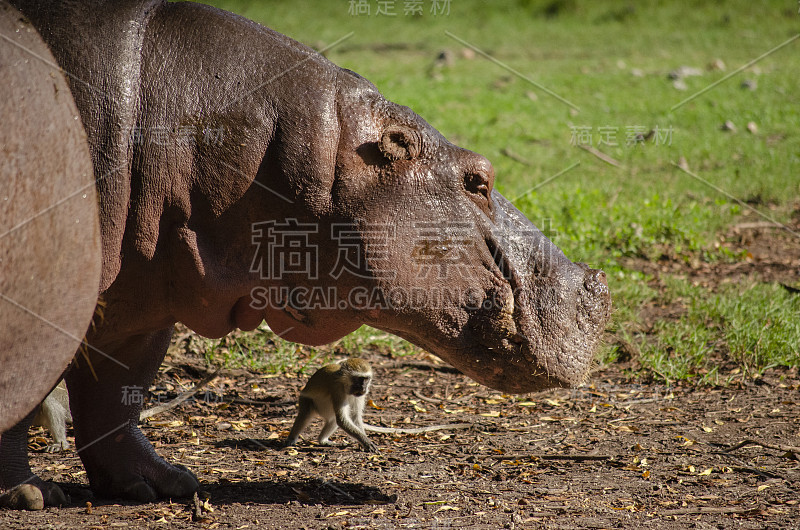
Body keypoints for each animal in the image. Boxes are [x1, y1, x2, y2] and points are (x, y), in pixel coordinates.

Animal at [3, 0, 608, 508]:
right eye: (478, 179)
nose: (598, 286)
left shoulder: (145, 297)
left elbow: (116, 392)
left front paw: (163, 484)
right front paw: (30, 495)